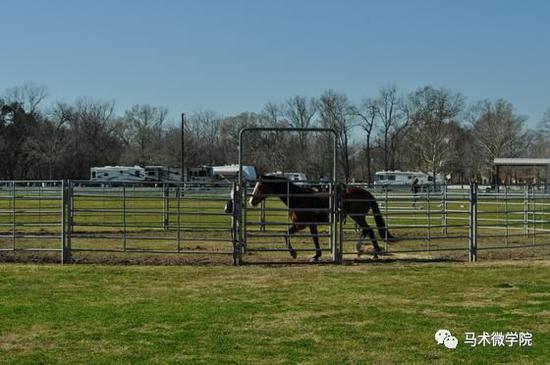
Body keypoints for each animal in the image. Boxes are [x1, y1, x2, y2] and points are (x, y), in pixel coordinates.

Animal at [248, 176, 394, 258]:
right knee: (366, 230)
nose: (251, 201)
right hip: (358, 217)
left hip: (358, 216)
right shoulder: (310, 224)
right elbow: (315, 239)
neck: (297, 198)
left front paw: (294, 253)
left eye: (260, 186)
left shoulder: (301, 225)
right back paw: (360, 249)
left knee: (369, 230)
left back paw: (375, 252)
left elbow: (286, 234)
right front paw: (316, 255)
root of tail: (367, 193)